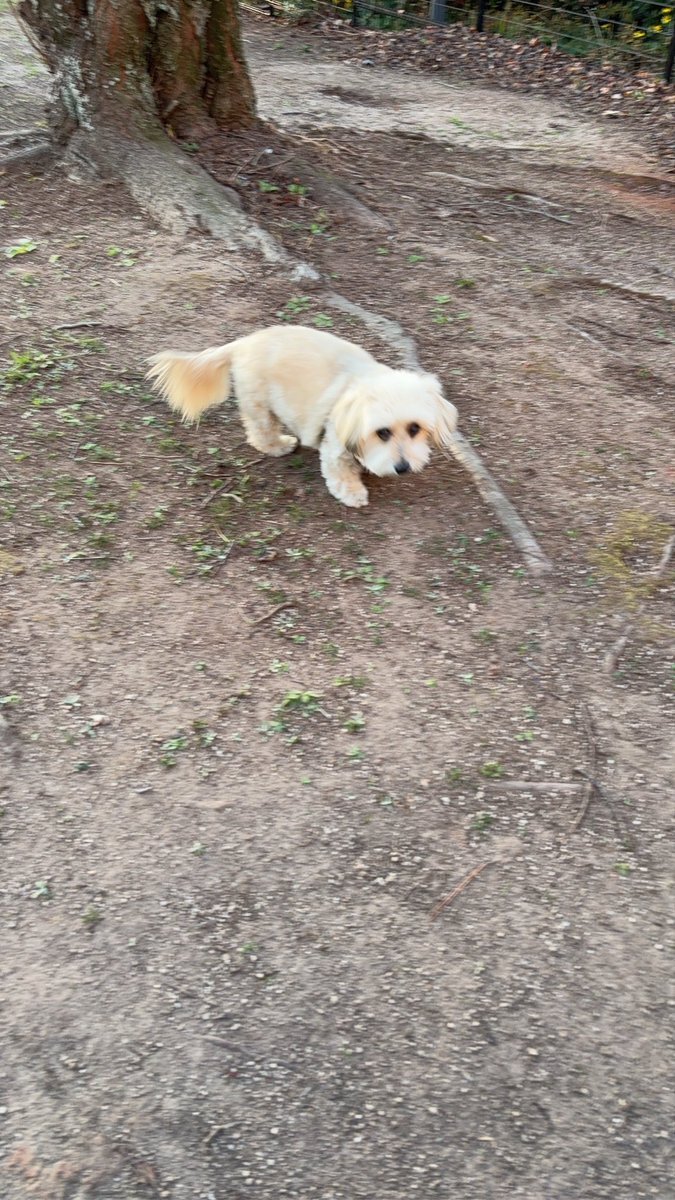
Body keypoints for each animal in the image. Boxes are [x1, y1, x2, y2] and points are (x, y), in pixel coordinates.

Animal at [146, 324, 458, 508]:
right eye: (382, 432)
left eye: (415, 428)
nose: (403, 467)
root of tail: (244, 342)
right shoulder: (335, 446)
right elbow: (340, 473)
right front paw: (353, 493)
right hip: (259, 403)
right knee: (261, 431)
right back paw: (278, 445)